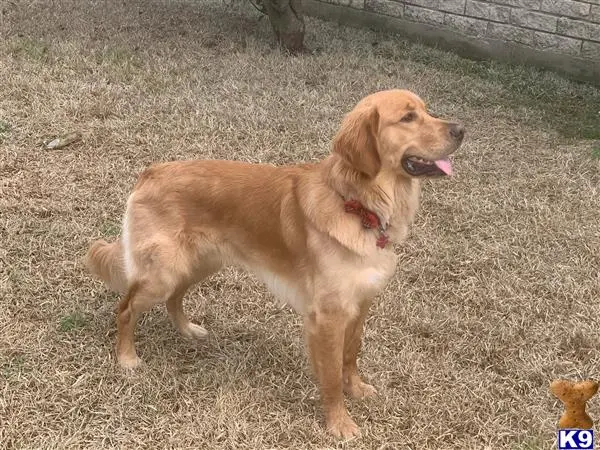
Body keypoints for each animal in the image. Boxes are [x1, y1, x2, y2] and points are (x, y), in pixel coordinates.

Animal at [86, 89, 466, 438]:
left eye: (427, 110)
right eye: (408, 117)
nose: (462, 129)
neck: (357, 203)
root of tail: (151, 171)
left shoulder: (361, 302)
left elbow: (351, 353)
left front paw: (355, 389)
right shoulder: (327, 316)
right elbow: (330, 376)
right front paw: (339, 423)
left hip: (198, 263)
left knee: (174, 297)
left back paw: (187, 329)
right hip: (163, 272)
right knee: (126, 309)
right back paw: (127, 357)